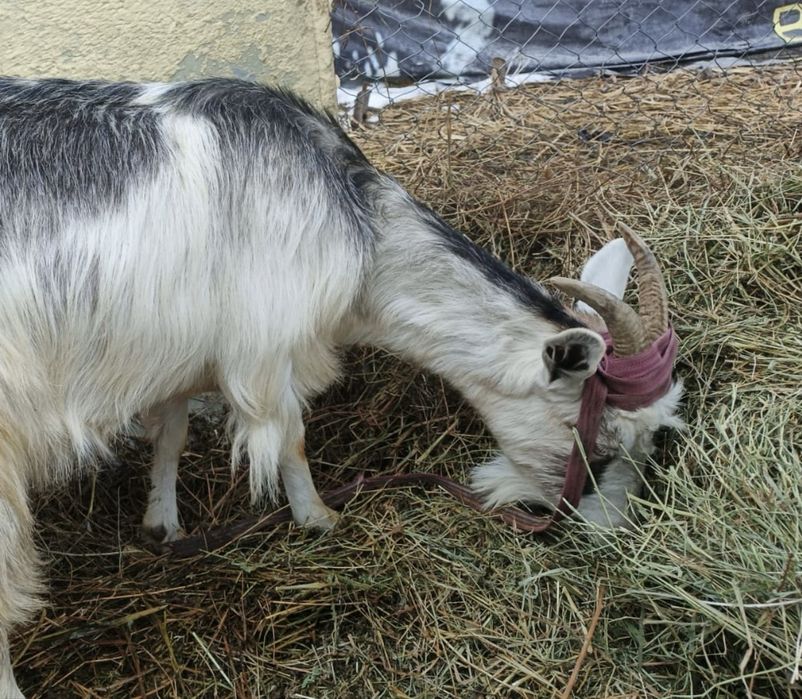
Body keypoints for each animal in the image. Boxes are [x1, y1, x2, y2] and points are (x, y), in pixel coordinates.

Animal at [0, 77, 682, 696]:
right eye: (598, 439)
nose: (610, 532)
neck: (362, 228)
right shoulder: (269, 344)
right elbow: (292, 437)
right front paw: (319, 517)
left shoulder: (181, 345)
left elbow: (171, 434)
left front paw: (162, 525)